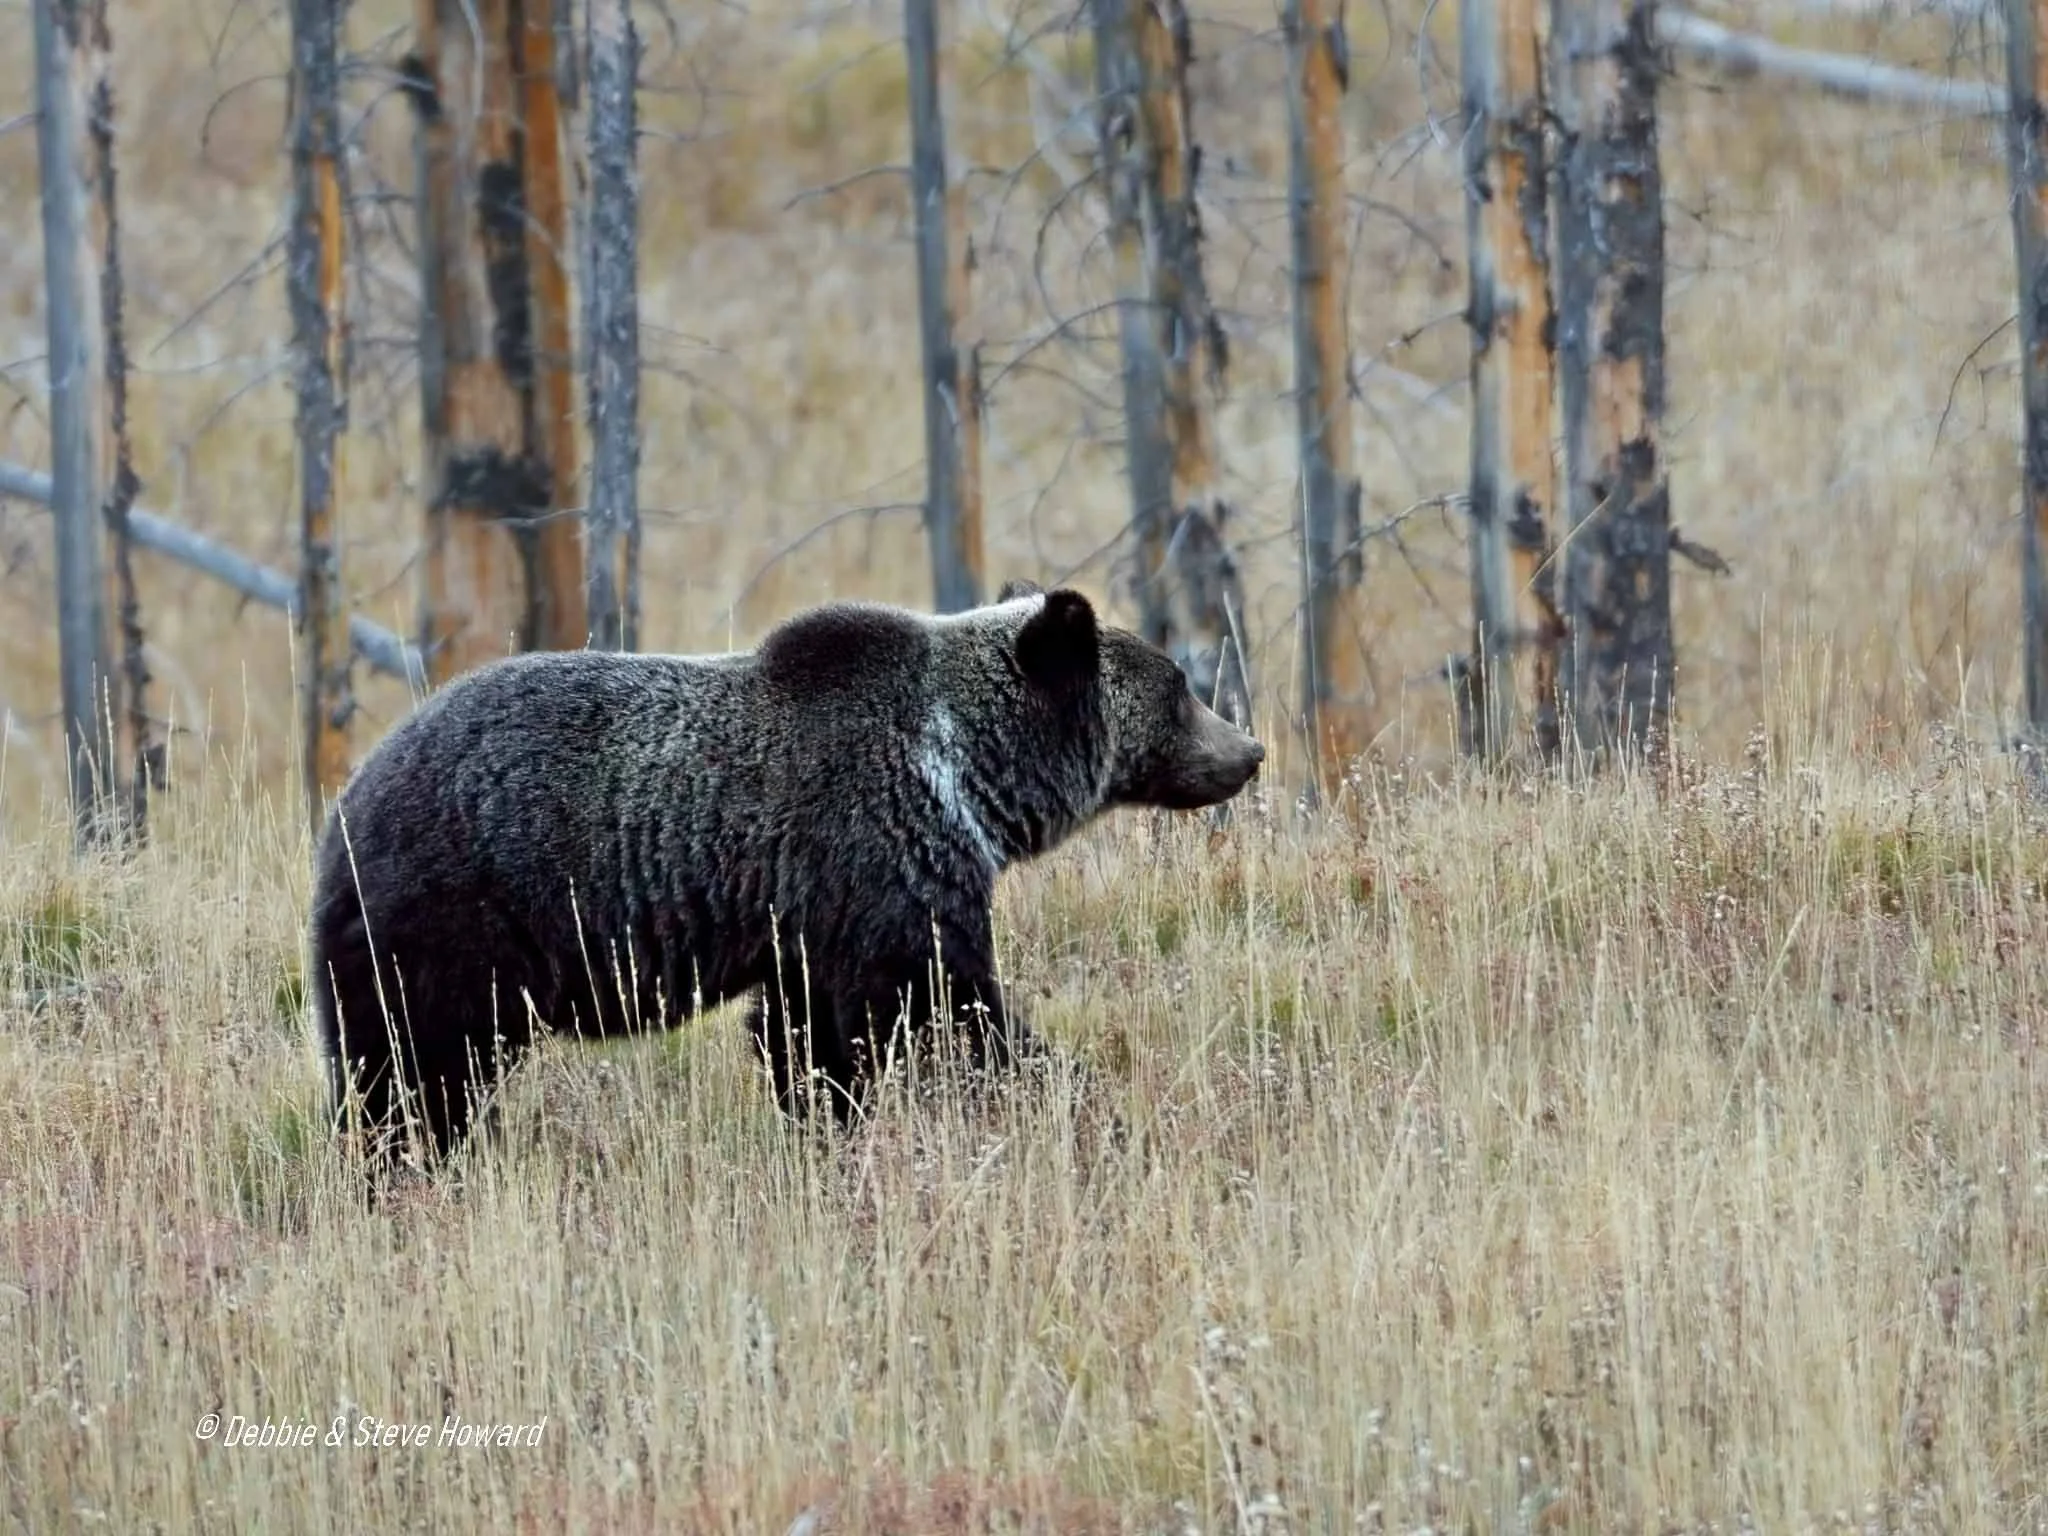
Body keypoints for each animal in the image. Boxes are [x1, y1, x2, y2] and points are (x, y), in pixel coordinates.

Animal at [306, 579, 1266, 1165]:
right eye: (1180, 687)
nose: (1250, 750)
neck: (964, 774)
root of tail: (344, 807)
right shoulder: (881, 861)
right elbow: (942, 1008)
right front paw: (1071, 1099)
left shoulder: (809, 918)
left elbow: (807, 1036)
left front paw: (825, 1127)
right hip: (455, 915)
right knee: (416, 1065)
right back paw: (411, 1161)